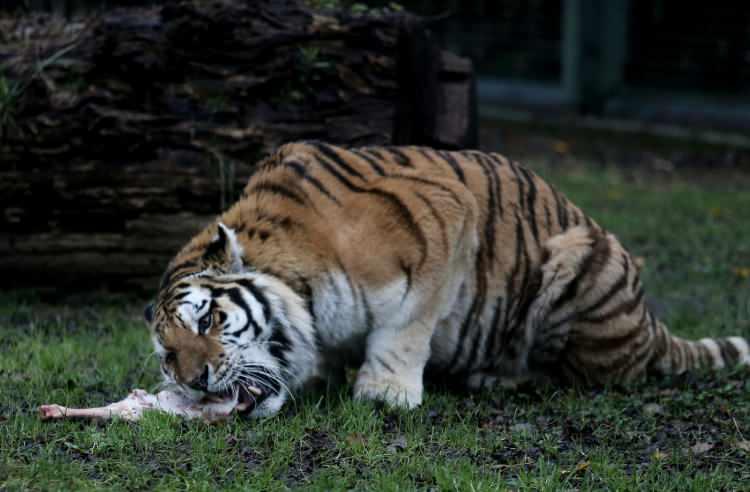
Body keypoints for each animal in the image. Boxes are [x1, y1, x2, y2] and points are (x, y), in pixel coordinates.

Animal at [142, 140, 750, 418]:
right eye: (169, 354)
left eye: (210, 320)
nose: (195, 380)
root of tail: (649, 325)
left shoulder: (442, 220)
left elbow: (405, 328)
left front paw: (384, 391)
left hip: (579, 261)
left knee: (579, 376)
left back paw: (495, 379)